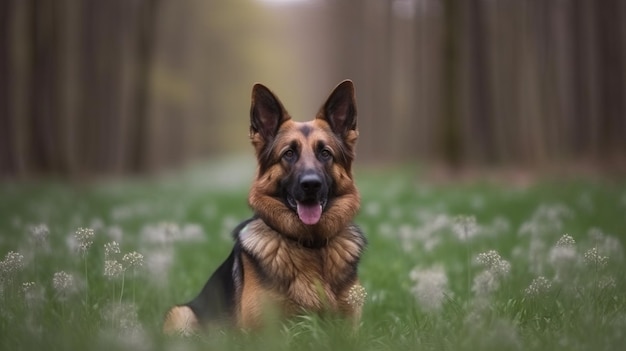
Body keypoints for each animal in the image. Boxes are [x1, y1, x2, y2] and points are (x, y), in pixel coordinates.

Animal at [162, 80, 366, 336]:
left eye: (325, 153)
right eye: (289, 153)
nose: (311, 184)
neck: (310, 246)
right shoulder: (262, 333)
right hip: (181, 314)